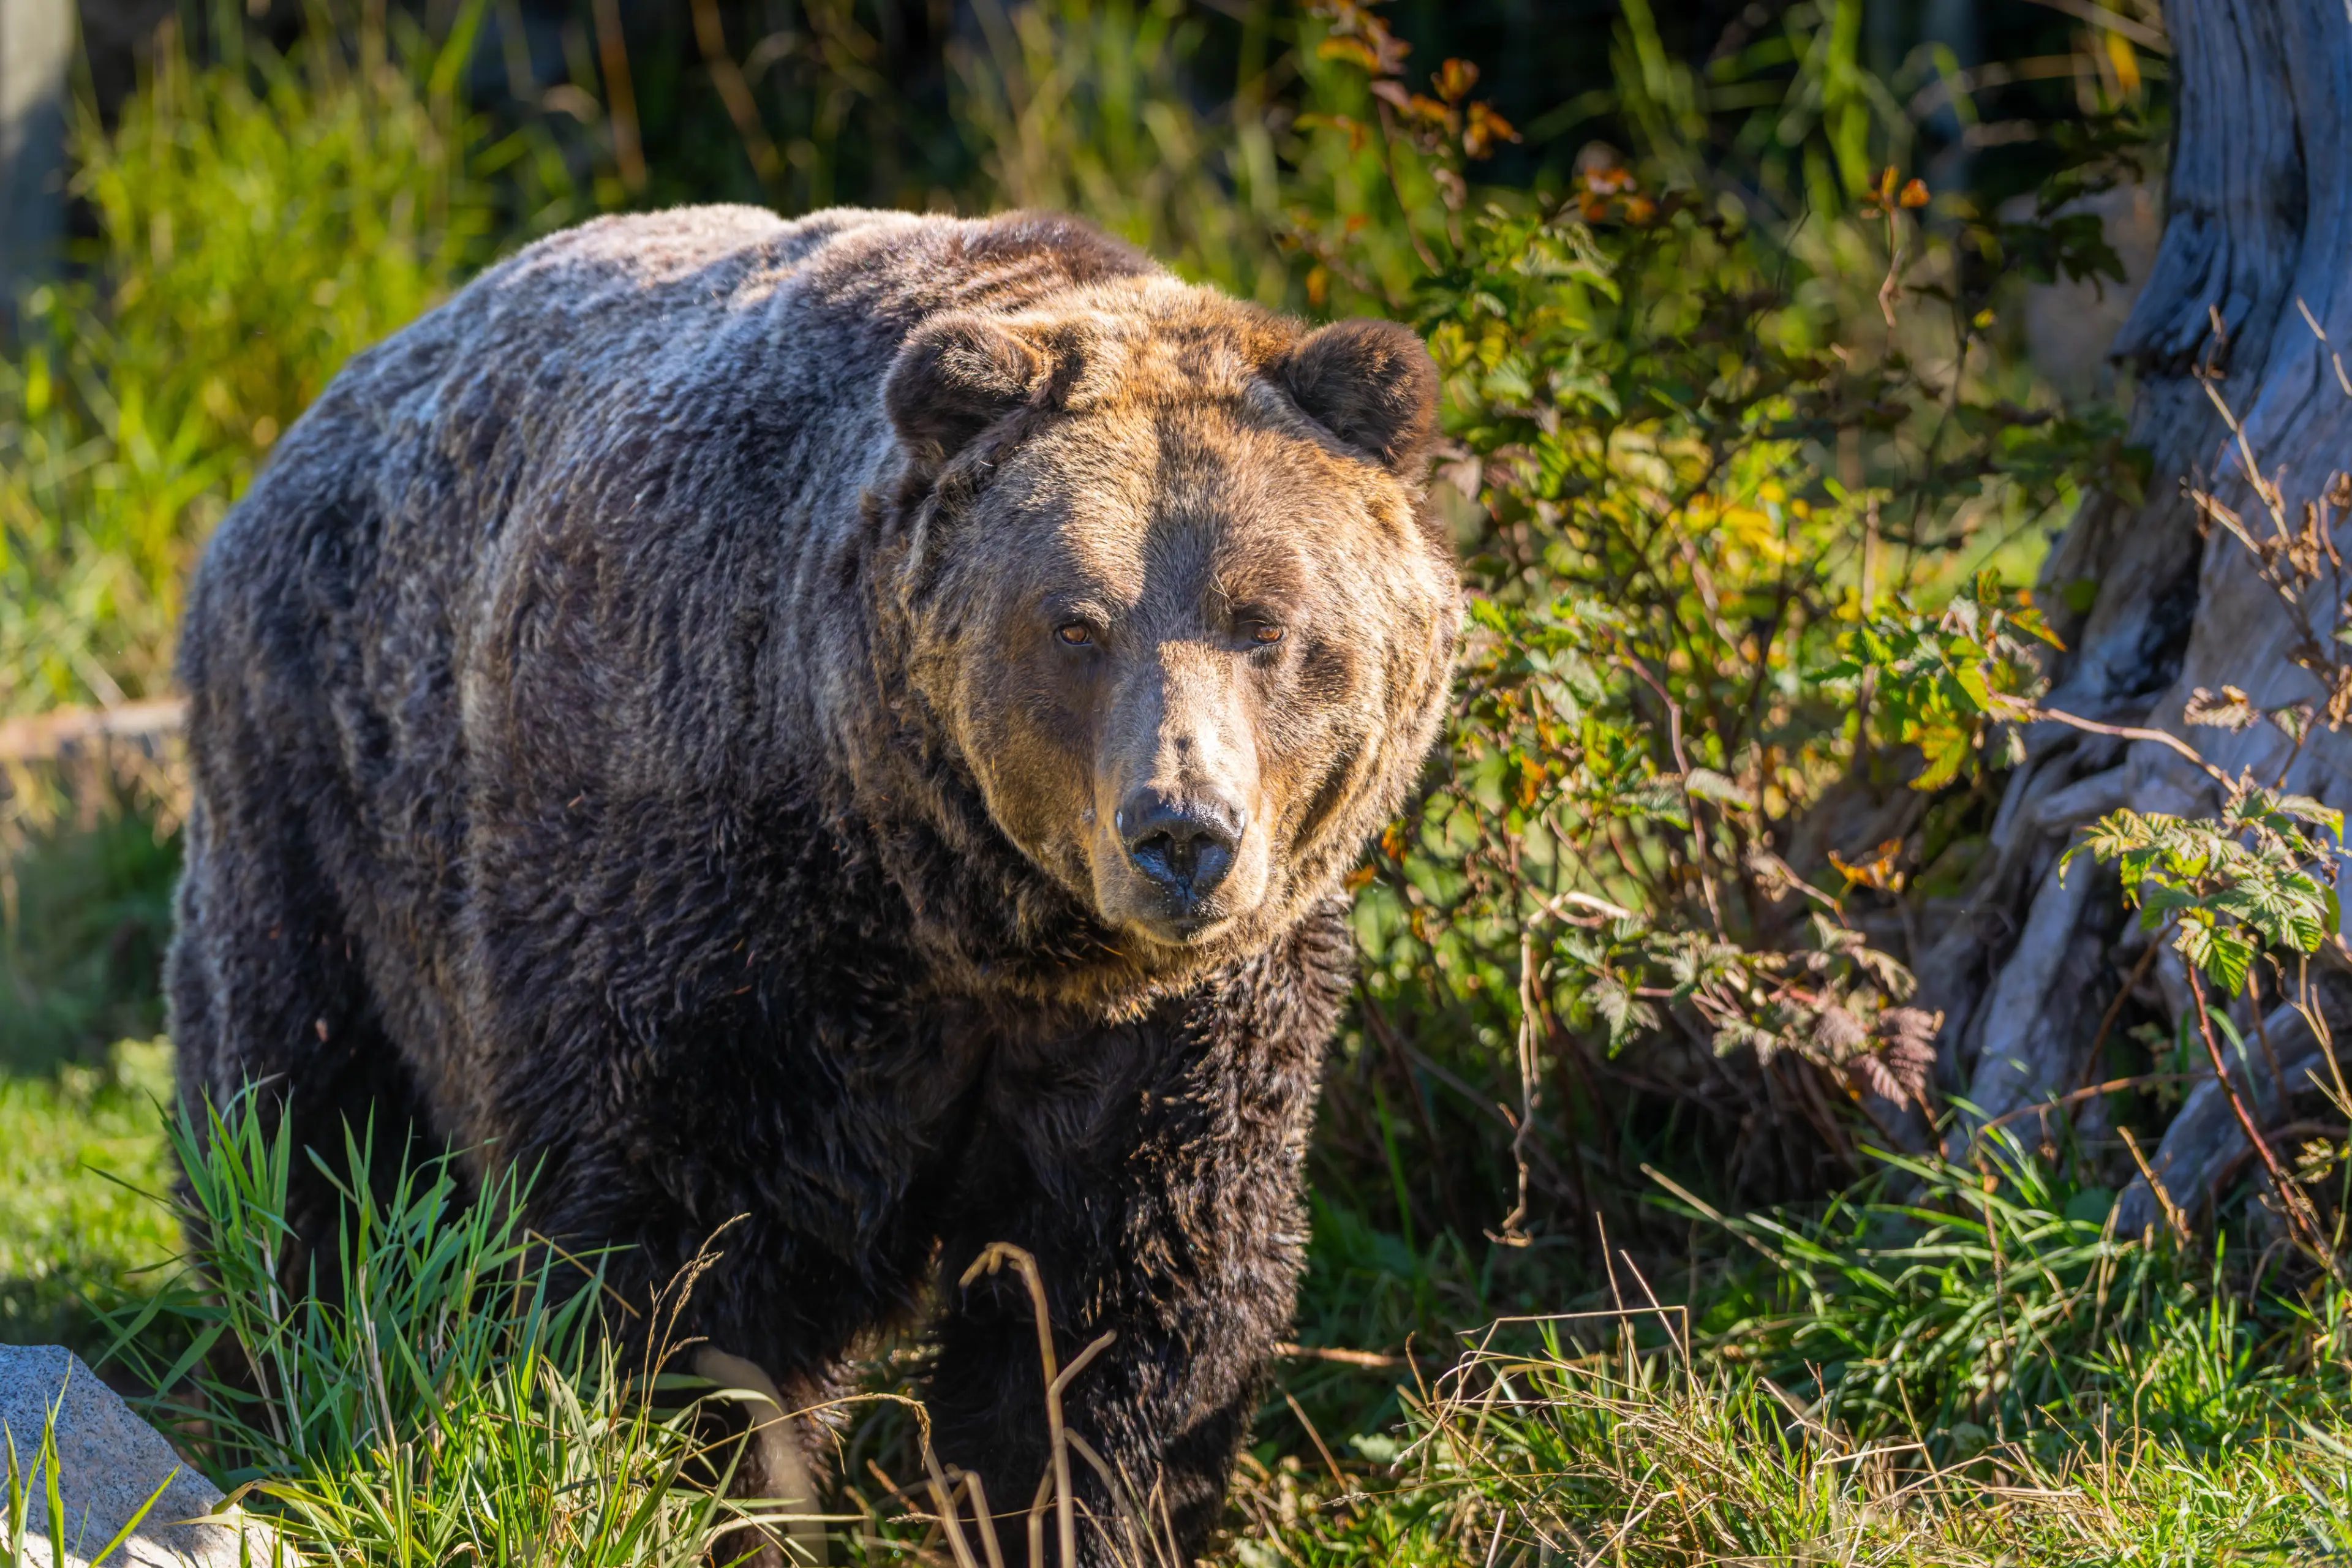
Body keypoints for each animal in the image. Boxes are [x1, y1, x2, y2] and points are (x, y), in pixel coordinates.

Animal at [166, 205, 1460, 1562]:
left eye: (1266, 623)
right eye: (1075, 624)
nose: (1181, 831)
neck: (971, 916)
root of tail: (333, 392)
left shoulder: (1185, 1025)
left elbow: (1129, 1309)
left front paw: (1079, 1505)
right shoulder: (720, 922)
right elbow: (694, 1267)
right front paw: (707, 1493)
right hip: (318, 789)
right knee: (298, 1116)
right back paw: (295, 1355)